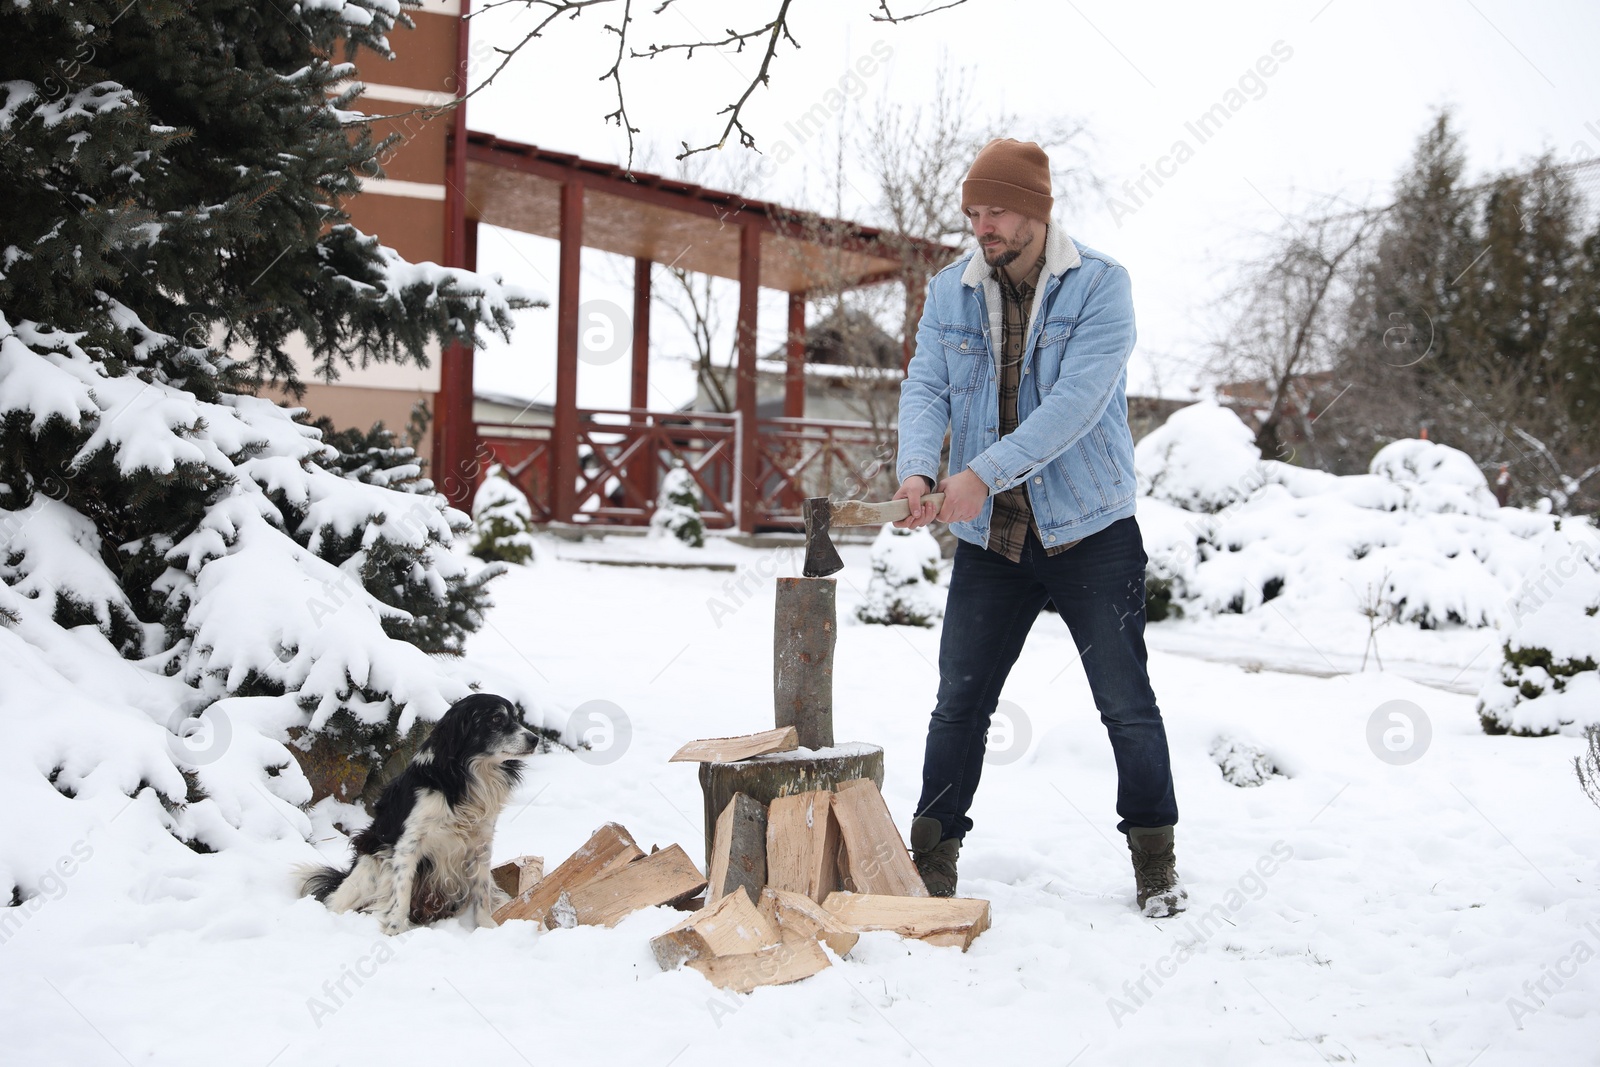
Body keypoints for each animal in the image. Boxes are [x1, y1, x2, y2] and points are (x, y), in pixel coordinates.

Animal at [300, 694, 544, 934]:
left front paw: (487, 927)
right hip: (369, 867)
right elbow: (402, 891)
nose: (535, 739)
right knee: (337, 900)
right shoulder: (408, 844)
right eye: (496, 719)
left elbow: (481, 890)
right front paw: (395, 930)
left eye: (516, 718)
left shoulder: (480, 844)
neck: (466, 778)